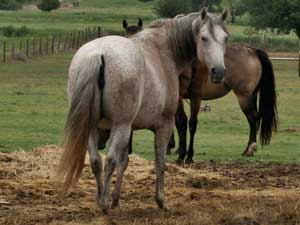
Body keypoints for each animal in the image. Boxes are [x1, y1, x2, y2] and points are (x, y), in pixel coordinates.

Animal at [56, 8, 230, 213]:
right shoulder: (163, 125)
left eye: (225, 38)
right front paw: (160, 200)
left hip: (92, 127)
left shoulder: (129, 129)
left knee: (96, 161)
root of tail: (98, 54)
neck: (163, 51)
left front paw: (116, 200)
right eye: (204, 38)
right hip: (120, 126)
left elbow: (124, 162)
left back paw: (100, 200)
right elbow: (159, 162)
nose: (218, 71)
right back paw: (104, 203)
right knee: (109, 160)